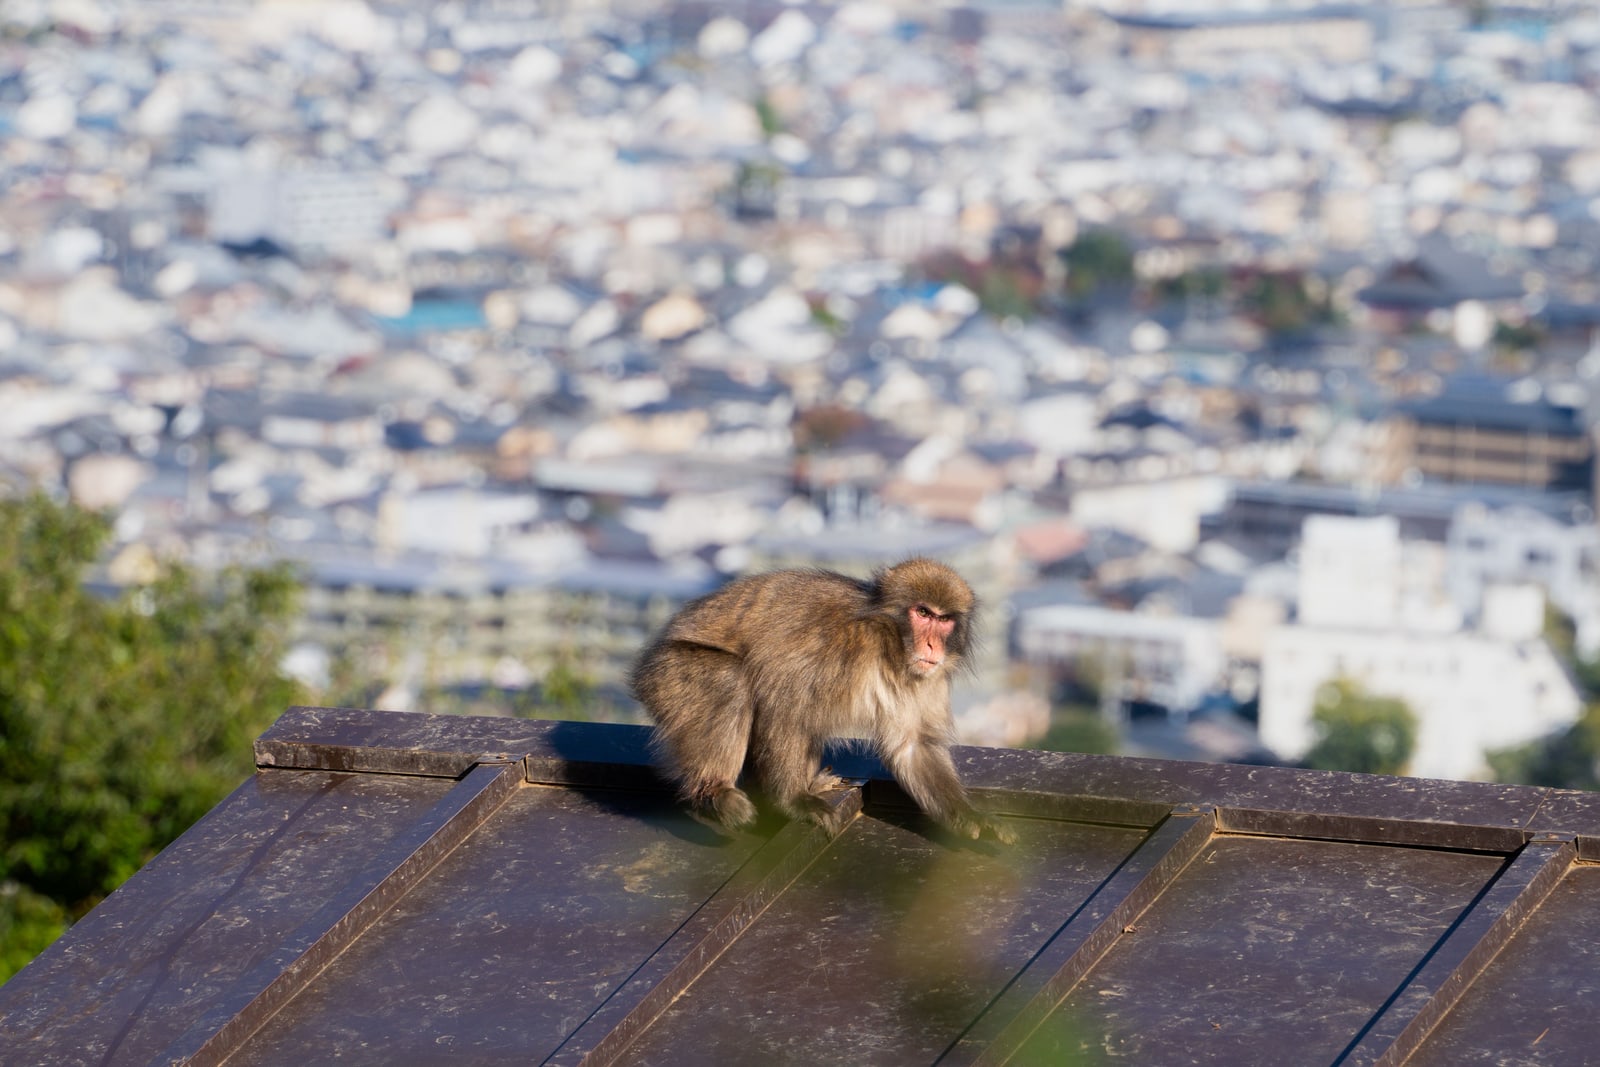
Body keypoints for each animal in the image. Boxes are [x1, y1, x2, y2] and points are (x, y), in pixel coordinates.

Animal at [630, 558, 1014, 842]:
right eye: (922, 613)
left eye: (944, 619)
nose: (933, 645)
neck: (888, 645)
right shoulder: (838, 649)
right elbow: (783, 706)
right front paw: (793, 803)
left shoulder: (925, 680)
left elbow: (913, 746)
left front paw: (969, 816)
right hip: (670, 675)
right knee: (730, 680)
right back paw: (715, 794)